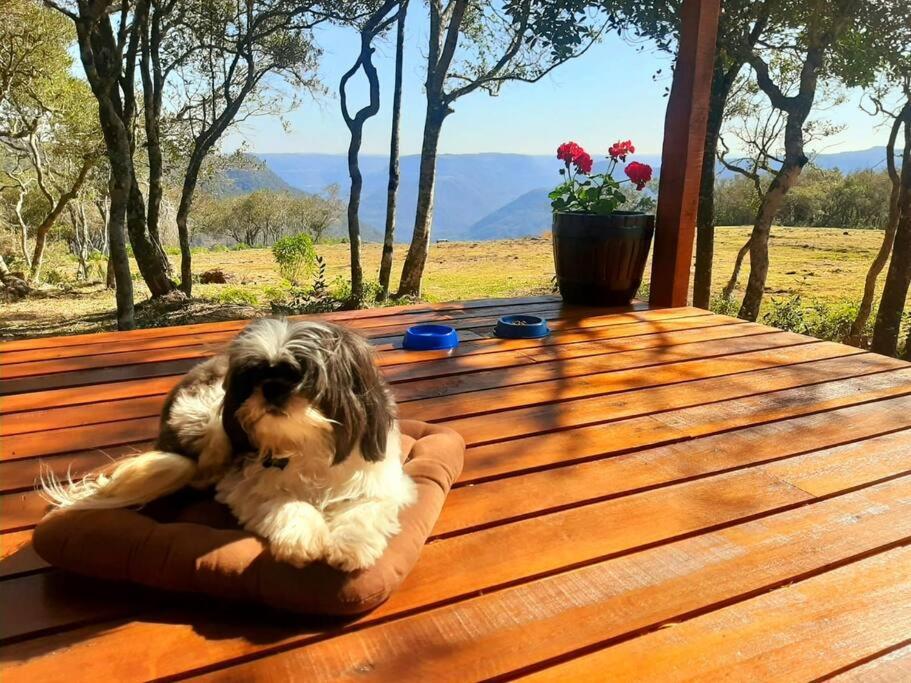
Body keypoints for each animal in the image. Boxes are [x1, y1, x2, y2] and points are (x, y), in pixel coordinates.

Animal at [39, 320, 416, 572]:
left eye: (301, 376)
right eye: (253, 376)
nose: (272, 387)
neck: (304, 443)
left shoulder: (377, 481)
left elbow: (363, 509)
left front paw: (349, 547)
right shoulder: (247, 484)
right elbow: (285, 502)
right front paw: (301, 538)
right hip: (207, 415)